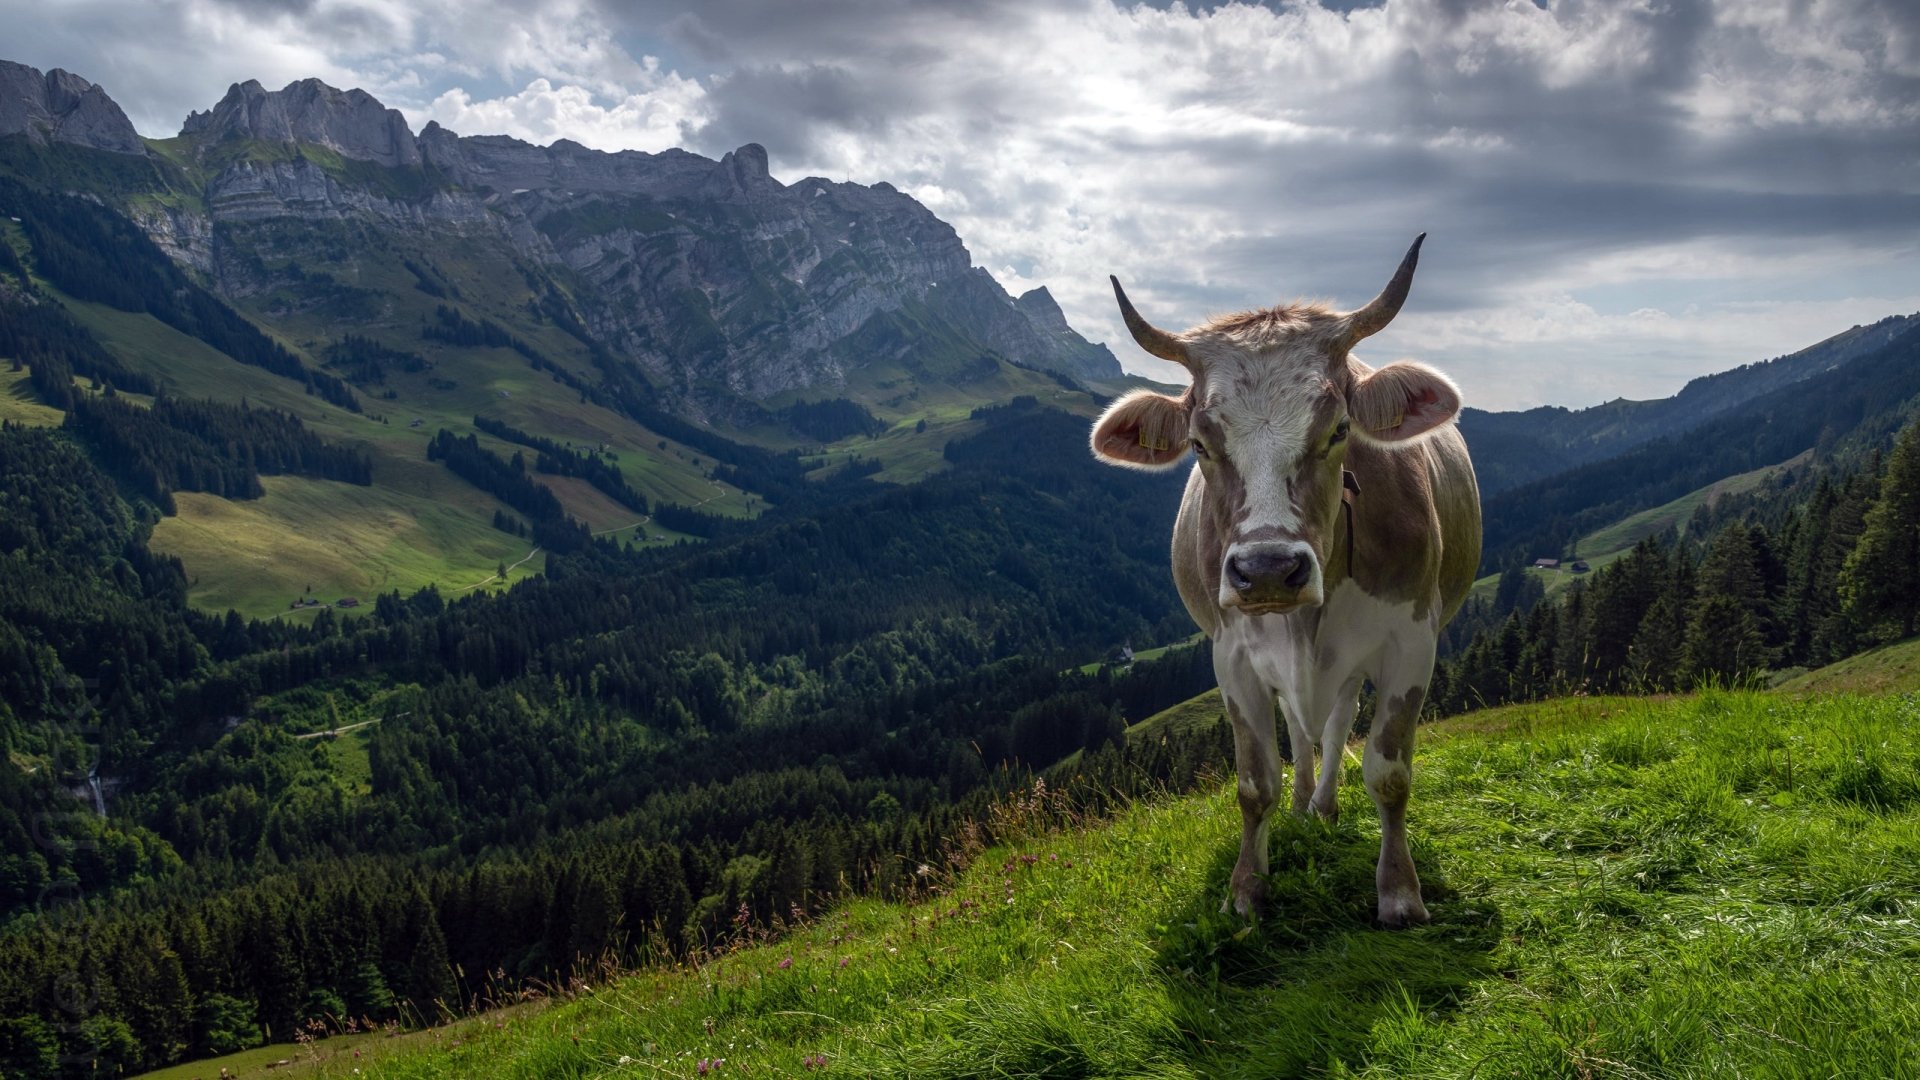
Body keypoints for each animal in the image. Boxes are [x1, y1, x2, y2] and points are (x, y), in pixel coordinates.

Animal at [1088, 236, 1480, 927]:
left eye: (1340, 430)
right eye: (1199, 443)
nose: (1267, 569)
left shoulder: (1413, 642)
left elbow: (1389, 772)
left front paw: (1400, 892)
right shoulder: (1233, 655)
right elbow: (1255, 782)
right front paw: (1247, 888)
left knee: (1337, 720)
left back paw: (1323, 806)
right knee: (1302, 729)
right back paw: (1303, 808)